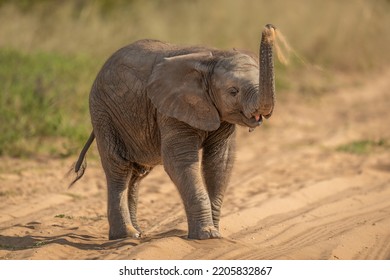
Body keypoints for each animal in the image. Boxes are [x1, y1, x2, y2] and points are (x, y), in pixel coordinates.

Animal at [71, 24, 278, 240]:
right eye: (233, 92)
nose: (269, 28)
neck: (213, 59)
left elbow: (220, 162)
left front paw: (216, 233)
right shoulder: (169, 108)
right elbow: (179, 160)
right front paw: (207, 235)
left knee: (137, 173)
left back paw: (137, 232)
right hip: (103, 112)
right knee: (118, 167)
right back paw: (126, 235)